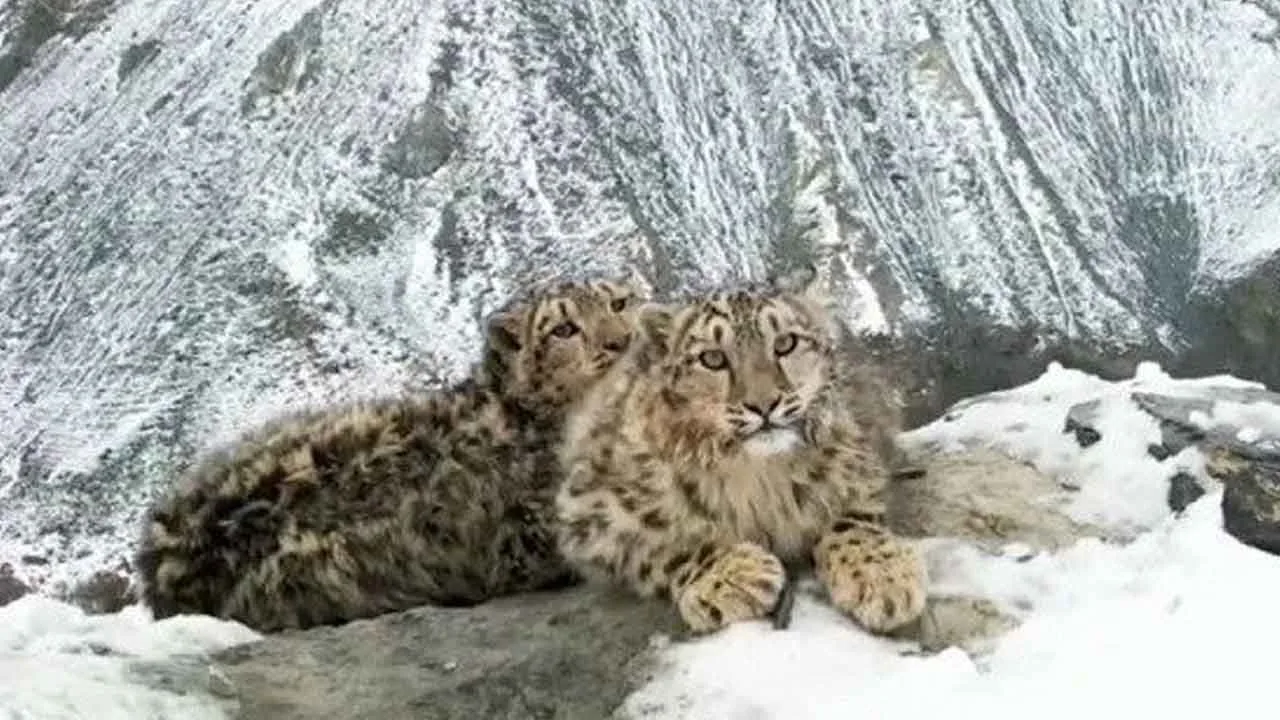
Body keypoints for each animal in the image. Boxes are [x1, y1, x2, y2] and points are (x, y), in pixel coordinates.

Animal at [554, 267, 926, 635]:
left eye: (786, 343)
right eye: (712, 358)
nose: (763, 405)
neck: (762, 477)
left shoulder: (861, 448)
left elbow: (853, 513)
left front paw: (882, 575)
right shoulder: (593, 509)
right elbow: (661, 547)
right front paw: (734, 575)